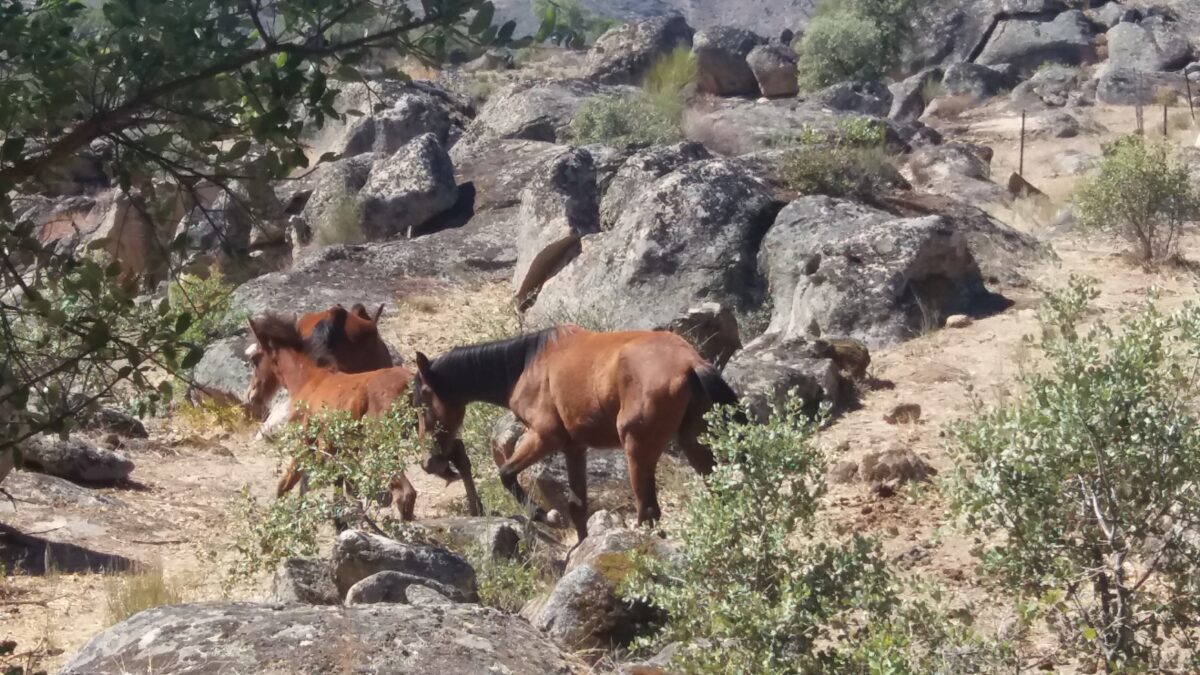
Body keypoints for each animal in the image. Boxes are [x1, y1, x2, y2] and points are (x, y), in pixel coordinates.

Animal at [246, 308, 479, 523]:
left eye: (255, 359)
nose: (251, 395)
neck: (311, 380)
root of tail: (410, 384)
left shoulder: (309, 442)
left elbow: (288, 483)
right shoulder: (341, 447)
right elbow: (343, 484)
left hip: (383, 443)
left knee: (406, 492)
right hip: (428, 431)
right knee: (456, 455)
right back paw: (476, 510)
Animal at [410, 324, 740, 544]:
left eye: (423, 400)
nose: (429, 462)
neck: (527, 365)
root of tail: (691, 363)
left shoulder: (545, 437)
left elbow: (506, 474)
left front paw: (547, 517)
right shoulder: (574, 448)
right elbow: (577, 506)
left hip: (638, 449)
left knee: (648, 510)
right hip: (696, 446)